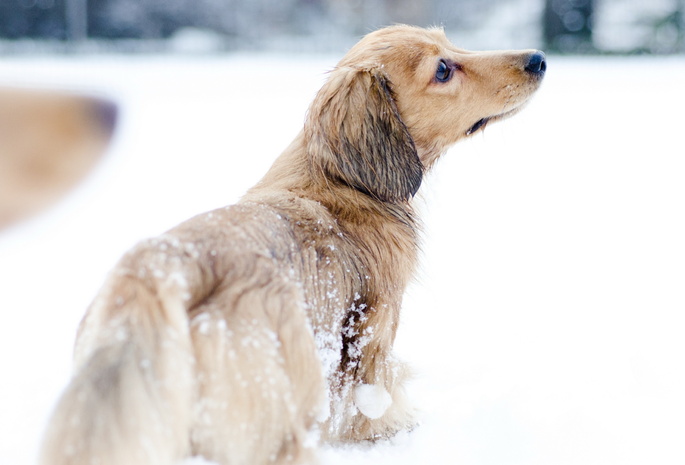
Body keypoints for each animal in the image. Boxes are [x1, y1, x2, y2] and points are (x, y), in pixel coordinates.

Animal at [40, 25, 544, 464]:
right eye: (442, 70)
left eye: (450, 43)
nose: (538, 60)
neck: (339, 179)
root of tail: (160, 269)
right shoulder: (375, 326)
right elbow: (373, 392)